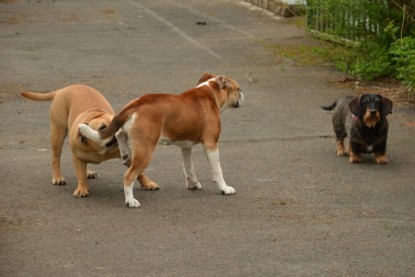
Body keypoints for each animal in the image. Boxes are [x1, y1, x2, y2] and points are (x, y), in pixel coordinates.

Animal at [19, 84, 160, 196]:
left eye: (117, 123)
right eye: (103, 127)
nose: (118, 131)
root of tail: (64, 88)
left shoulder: (125, 156)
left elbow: (138, 171)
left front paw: (147, 183)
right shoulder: (76, 157)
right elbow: (80, 175)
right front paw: (82, 189)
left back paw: (88, 172)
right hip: (57, 133)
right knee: (55, 158)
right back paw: (58, 177)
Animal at [79, 72, 244, 206]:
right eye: (238, 89)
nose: (243, 94)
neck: (209, 92)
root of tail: (137, 103)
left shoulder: (185, 147)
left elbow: (189, 167)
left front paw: (193, 184)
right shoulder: (211, 144)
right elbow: (218, 170)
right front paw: (225, 188)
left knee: (119, 134)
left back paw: (125, 154)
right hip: (146, 150)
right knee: (129, 176)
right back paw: (131, 201)